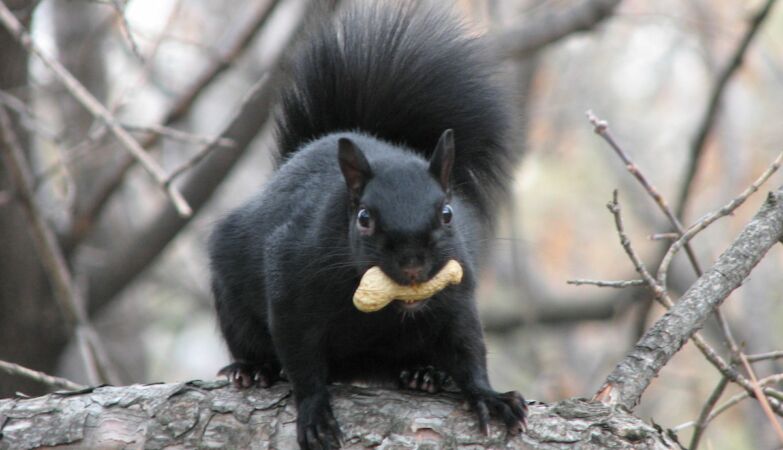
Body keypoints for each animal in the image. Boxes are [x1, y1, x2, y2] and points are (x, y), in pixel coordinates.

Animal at [208, 1, 528, 448]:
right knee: (251, 339)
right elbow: (302, 358)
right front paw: (314, 412)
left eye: (447, 214)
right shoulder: (291, 282)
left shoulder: (456, 292)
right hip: (232, 295)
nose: (412, 264)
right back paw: (252, 369)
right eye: (364, 219)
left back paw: (424, 374)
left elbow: (467, 346)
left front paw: (489, 396)